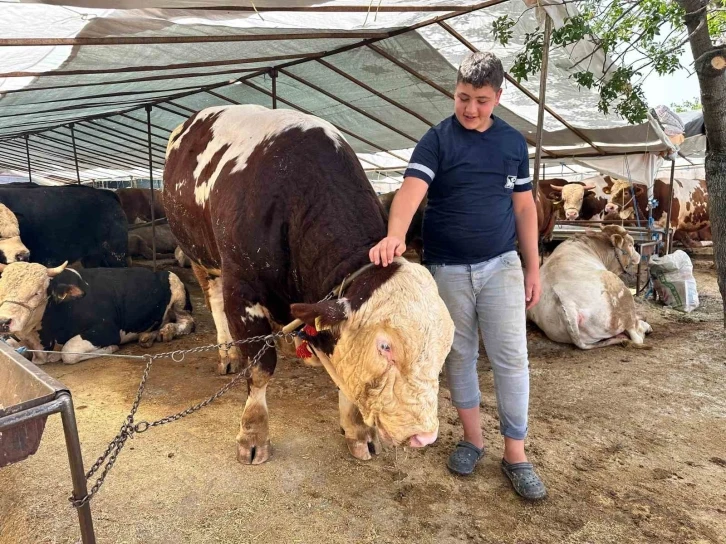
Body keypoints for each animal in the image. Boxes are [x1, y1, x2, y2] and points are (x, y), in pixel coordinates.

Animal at [0, 262, 195, 364]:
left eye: (37, 293)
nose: (3, 322)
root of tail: (157, 271)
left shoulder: (107, 330)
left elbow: (69, 352)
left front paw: (111, 348)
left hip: (177, 293)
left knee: (187, 322)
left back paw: (168, 331)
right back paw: (148, 336)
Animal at [165, 105, 456, 464]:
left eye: (446, 345)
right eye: (385, 347)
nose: (424, 436)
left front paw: (357, 430)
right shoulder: (242, 291)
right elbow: (260, 368)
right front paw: (253, 434)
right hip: (200, 257)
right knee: (215, 303)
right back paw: (227, 353)